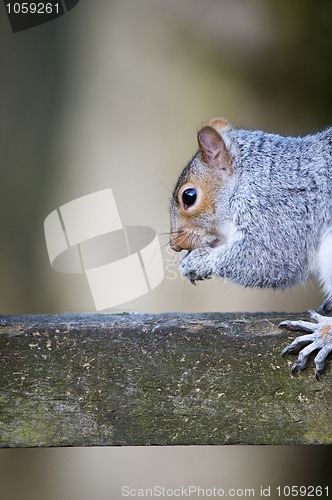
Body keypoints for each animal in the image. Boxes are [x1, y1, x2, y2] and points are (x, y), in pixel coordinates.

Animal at [170, 116, 332, 376]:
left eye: (189, 196)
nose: (176, 245)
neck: (250, 177)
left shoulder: (279, 211)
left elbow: (271, 259)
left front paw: (198, 262)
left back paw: (323, 335)